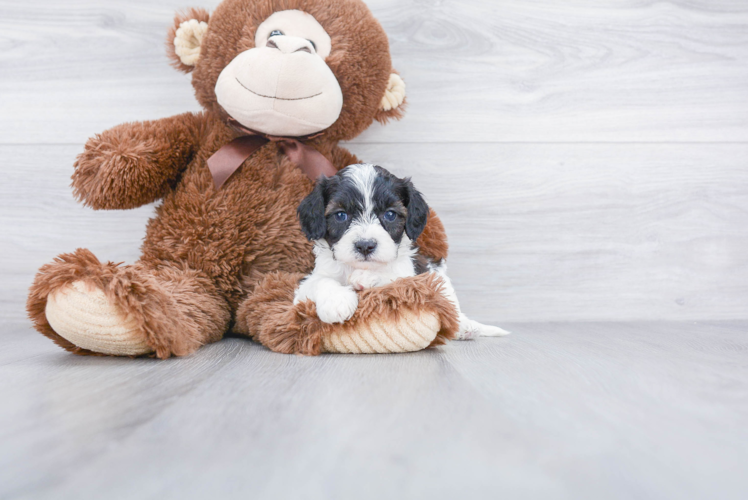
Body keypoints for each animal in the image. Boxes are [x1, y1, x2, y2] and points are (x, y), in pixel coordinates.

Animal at [292, 164, 508, 340]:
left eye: (390, 214)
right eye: (340, 215)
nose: (365, 245)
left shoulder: (413, 276)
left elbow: (395, 278)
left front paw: (366, 277)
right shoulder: (306, 285)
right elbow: (321, 281)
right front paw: (336, 301)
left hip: (439, 276)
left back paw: (465, 327)